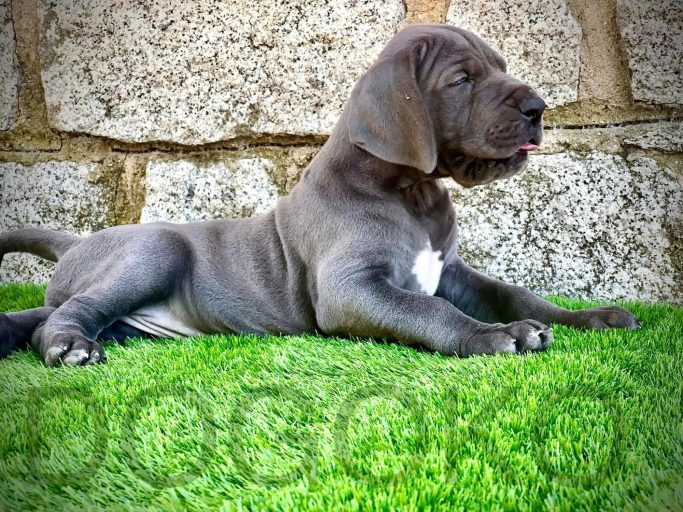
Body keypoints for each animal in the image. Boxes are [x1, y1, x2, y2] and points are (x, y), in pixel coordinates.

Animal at [1, 25, 640, 368]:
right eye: (462, 81)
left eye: (501, 67)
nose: (538, 108)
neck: (410, 193)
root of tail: (75, 241)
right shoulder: (350, 288)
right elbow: (428, 311)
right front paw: (492, 336)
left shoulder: (451, 271)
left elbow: (515, 293)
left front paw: (590, 317)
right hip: (154, 250)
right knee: (67, 315)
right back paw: (69, 348)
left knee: (42, 315)